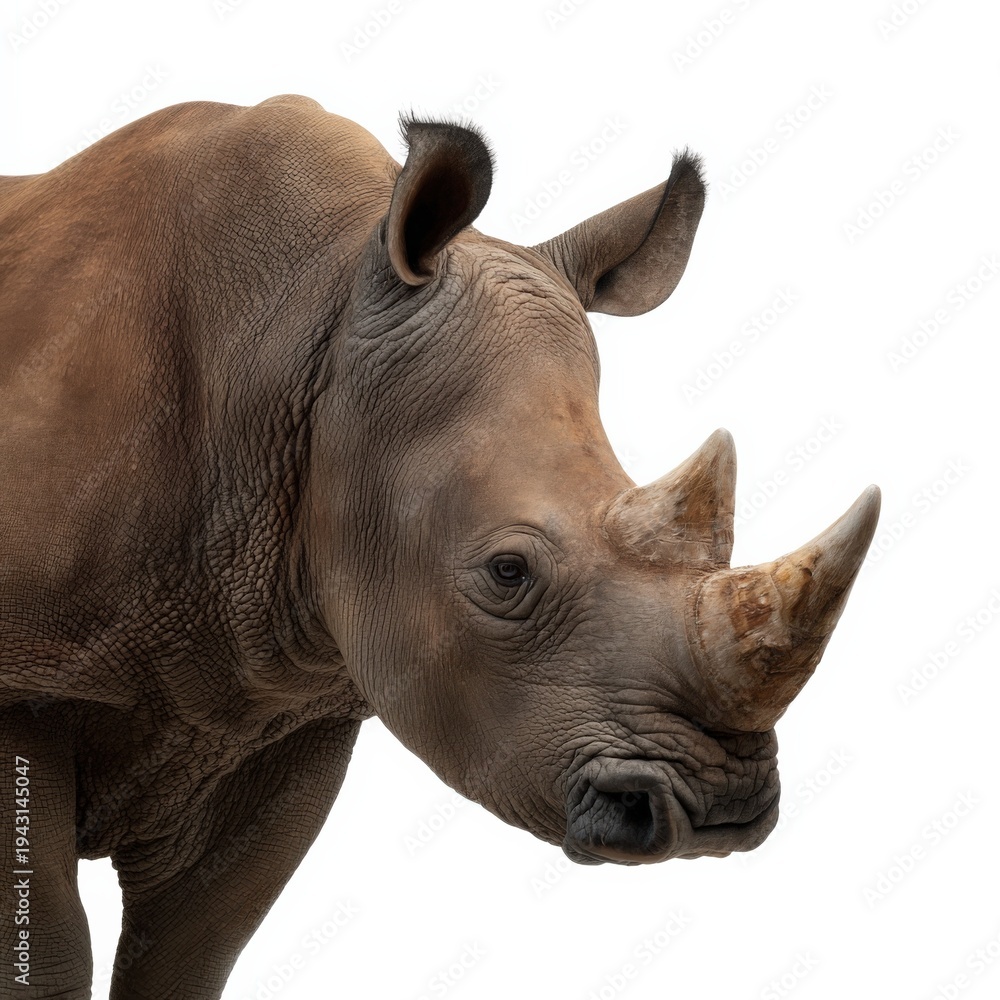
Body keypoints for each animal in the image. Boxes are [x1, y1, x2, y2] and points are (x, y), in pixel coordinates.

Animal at [0, 94, 879, 998]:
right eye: (507, 571)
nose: (721, 802)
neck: (305, 330)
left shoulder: (285, 698)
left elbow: (195, 947)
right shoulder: (24, 674)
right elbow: (46, 950)